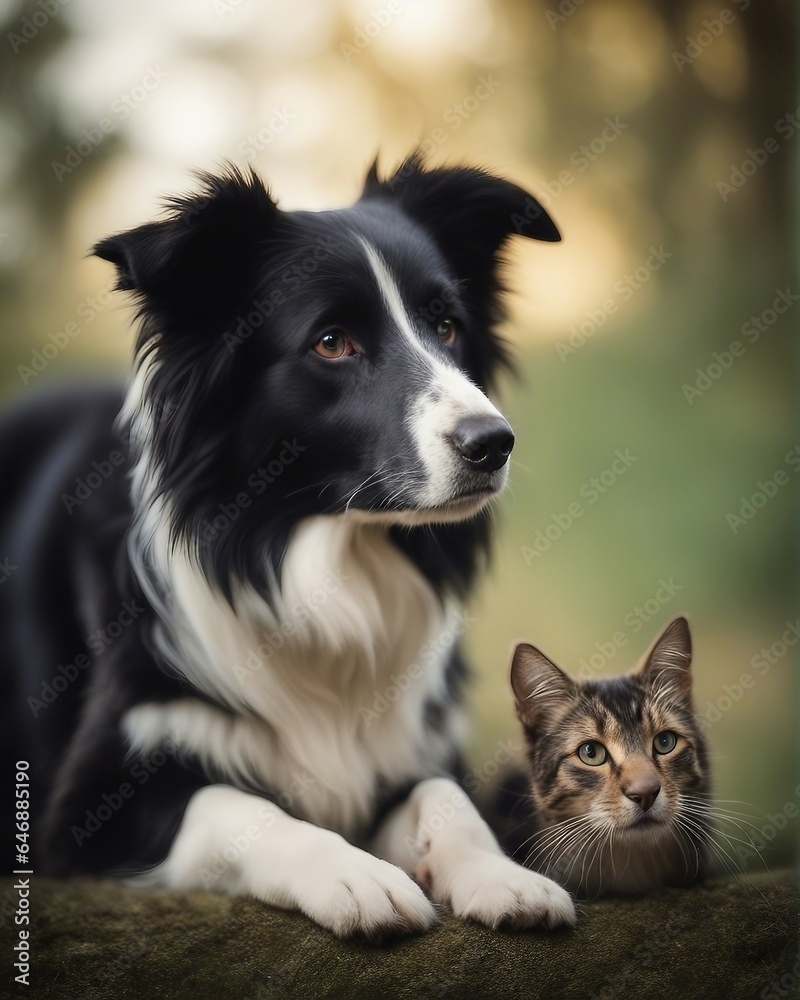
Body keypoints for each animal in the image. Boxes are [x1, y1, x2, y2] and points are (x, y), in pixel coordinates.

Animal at [1, 156, 576, 936]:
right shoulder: (87, 806)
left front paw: (502, 877)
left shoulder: (412, 747)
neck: (322, 569)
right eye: (332, 342)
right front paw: (354, 876)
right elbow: (237, 806)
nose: (494, 443)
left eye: (447, 326)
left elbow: (447, 800)